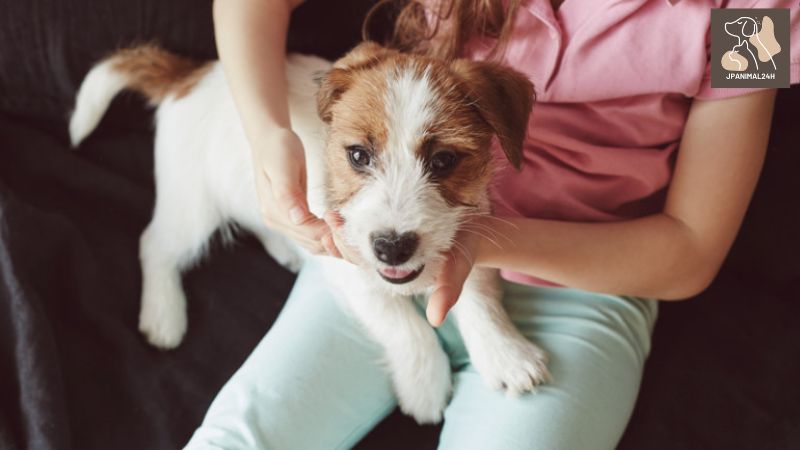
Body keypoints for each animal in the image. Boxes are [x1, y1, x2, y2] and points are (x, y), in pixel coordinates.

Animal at [70, 41, 552, 422]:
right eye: (358, 155)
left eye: (444, 161)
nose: (392, 248)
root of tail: (188, 76)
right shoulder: (350, 271)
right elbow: (405, 327)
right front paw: (426, 386)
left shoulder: (469, 232)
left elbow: (477, 298)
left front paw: (506, 357)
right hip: (192, 206)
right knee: (154, 244)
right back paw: (163, 315)